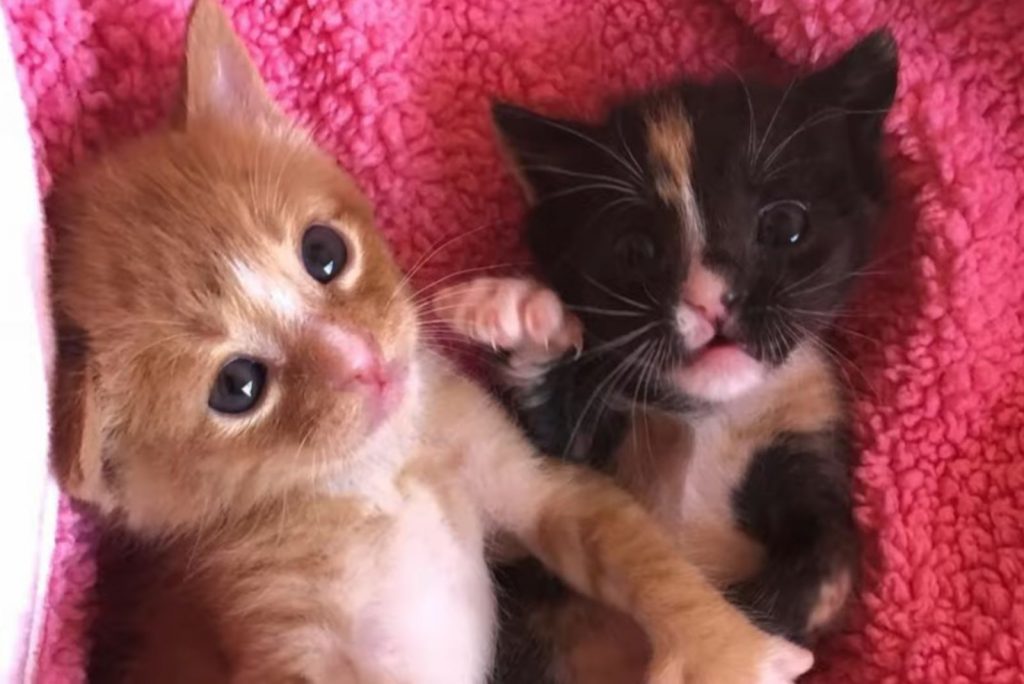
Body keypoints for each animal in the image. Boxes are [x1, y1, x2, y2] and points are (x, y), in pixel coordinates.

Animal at [48, 2, 811, 679]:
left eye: (323, 253)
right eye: (237, 387)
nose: (364, 362)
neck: (373, 477)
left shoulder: (532, 484)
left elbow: (642, 557)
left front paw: (729, 650)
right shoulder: (273, 635)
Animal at [436, 29, 901, 679]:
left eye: (784, 224)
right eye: (636, 250)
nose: (709, 302)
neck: (707, 415)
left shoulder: (808, 430)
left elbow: (834, 559)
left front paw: (748, 638)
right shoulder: (575, 451)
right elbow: (548, 436)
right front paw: (519, 312)